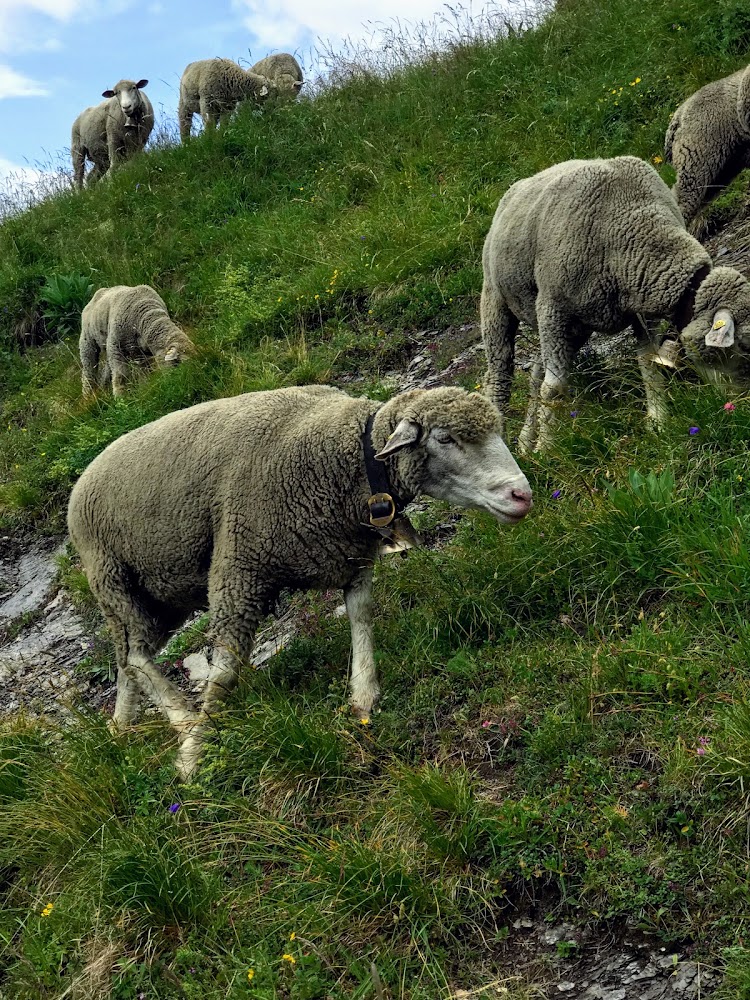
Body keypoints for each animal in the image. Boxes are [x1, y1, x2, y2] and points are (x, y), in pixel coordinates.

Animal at [67, 386, 532, 776]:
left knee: (127, 657)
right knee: (135, 657)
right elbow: (226, 671)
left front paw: (363, 693)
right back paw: (182, 718)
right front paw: (194, 757)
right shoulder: (239, 564)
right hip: (114, 579)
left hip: (163, 594)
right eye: (445, 439)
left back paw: (122, 726)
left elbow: (361, 616)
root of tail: (82, 478)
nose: (522, 495)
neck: (347, 458)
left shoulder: (350, 553)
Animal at [482, 154, 750, 452]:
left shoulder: (642, 309)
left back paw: (525, 441)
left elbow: (648, 361)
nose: (738, 406)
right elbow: (555, 388)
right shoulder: (552, 306)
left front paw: (658, 422)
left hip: (573, 329)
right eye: (743, 346)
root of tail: (517, 187)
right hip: (497, 301)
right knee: (499, 377)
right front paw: (547, 450)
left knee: (536, 374)